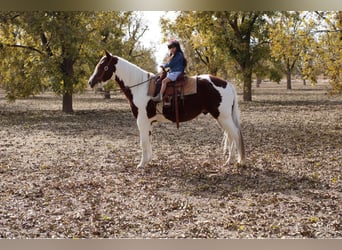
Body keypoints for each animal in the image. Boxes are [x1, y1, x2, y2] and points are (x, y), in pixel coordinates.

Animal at [87, 50, 244, 168]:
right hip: (221, 118)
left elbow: (143, 142)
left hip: (223, 117)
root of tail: (227, 83)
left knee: (235, 134)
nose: (90, 82)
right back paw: (229, 161)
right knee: (230, 136)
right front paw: (148, 160)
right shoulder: (148, 122)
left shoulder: (141, 121)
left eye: (102, 66)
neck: (140, 87)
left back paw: (239, 161)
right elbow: (148, 140)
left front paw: (141, 164)